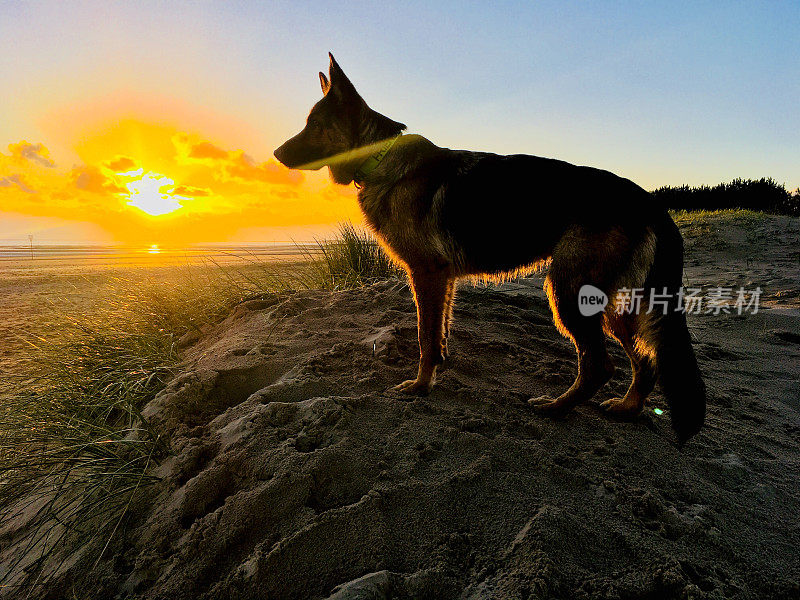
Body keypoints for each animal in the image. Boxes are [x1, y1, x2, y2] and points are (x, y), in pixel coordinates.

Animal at [276, 54, 708, 442]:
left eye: (314, 125)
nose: (276, 155)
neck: (380, 156)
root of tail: (648, 201)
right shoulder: (443, 279)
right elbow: (439, 334)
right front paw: (435, 372)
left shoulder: (426, 273)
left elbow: (424, 338)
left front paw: (420, 387)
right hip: (617, 308)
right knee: (646, 361)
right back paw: (627, 408)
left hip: (568, 292)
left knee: (599, 365)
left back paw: (557, 407)